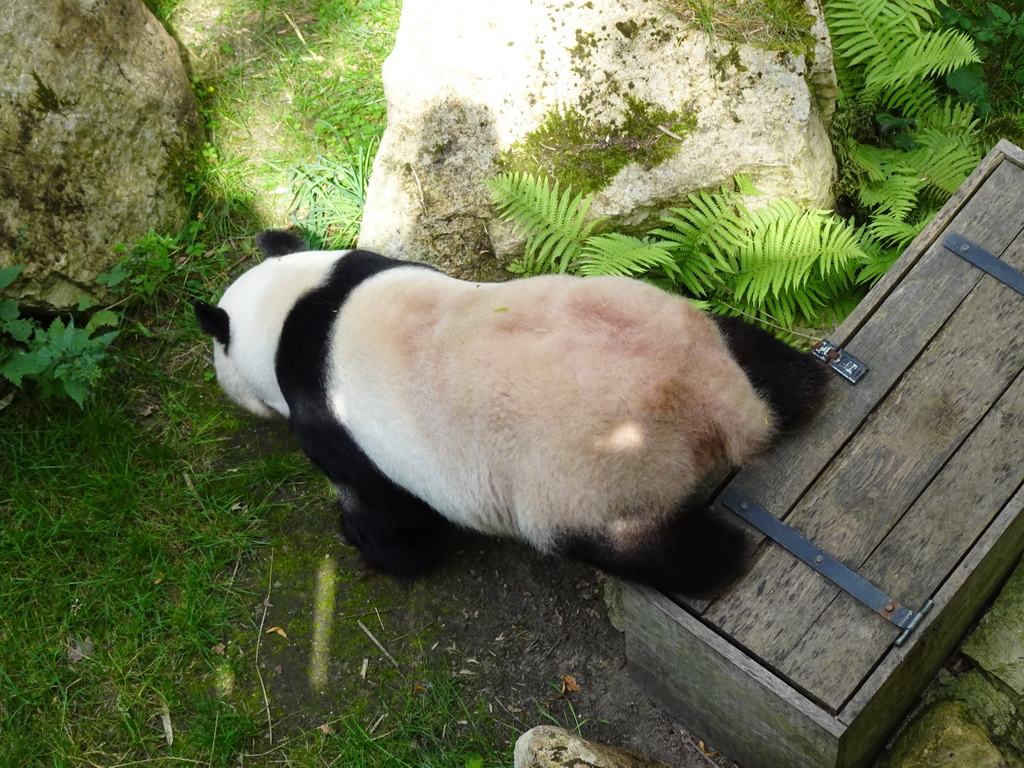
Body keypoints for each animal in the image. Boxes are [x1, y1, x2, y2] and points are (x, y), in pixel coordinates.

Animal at [195, 231, 827, 598]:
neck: (293, 309)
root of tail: (714, 399)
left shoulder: (333, 423)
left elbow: (390, 516)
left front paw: (365, 544)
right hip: (678, 321)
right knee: (756, 354)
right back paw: (803, 386)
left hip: (595, 479)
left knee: (642, 546)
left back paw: (720, 561)